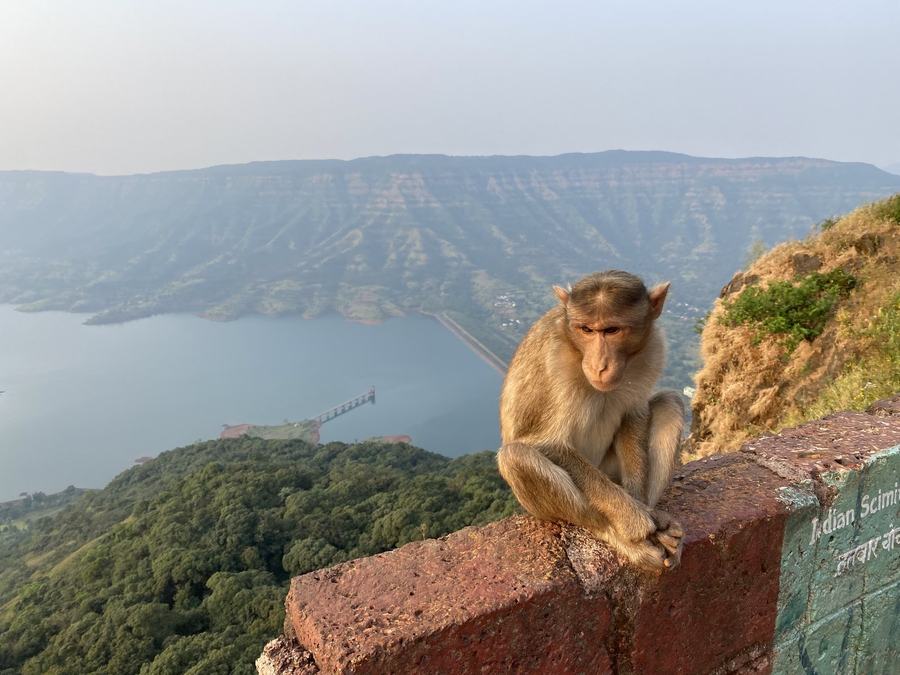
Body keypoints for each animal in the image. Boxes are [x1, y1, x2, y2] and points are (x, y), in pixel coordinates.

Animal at [497, 270, 685, 570]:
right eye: (587, 330)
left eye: (611, 330)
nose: (600, 366)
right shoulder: (554, 360)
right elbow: (546, 443)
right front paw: (634, 518)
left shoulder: (654, 349)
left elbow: (634, 414)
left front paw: (644, 509)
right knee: (516, 456)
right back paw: (623, 538)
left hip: (610, 470)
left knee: (670, 403)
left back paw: (658, 524)